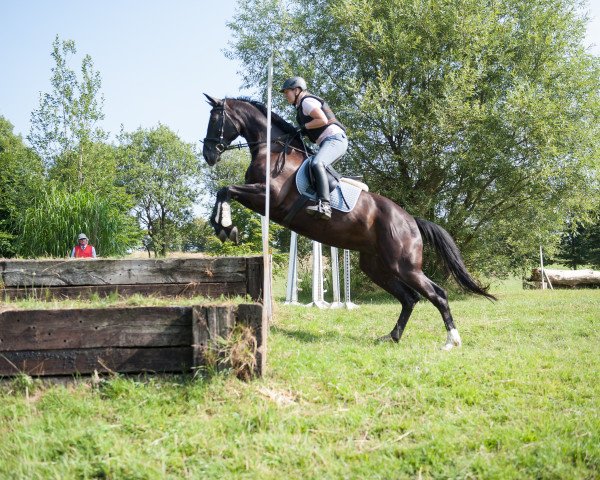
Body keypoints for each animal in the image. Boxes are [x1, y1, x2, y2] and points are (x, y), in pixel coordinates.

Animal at [202, 94, 496, 348]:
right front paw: (223, 228)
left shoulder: (268, 196)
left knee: (437, 294)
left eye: (215, 119)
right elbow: (223, 191)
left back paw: (451, 341)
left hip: (405, 265)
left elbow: (225, 189)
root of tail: (410, 220)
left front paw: (226, 227)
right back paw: (392, 336)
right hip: (376, 266)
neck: (272, 149)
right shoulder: (259, 198)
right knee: (409, 298)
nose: (208, 155)